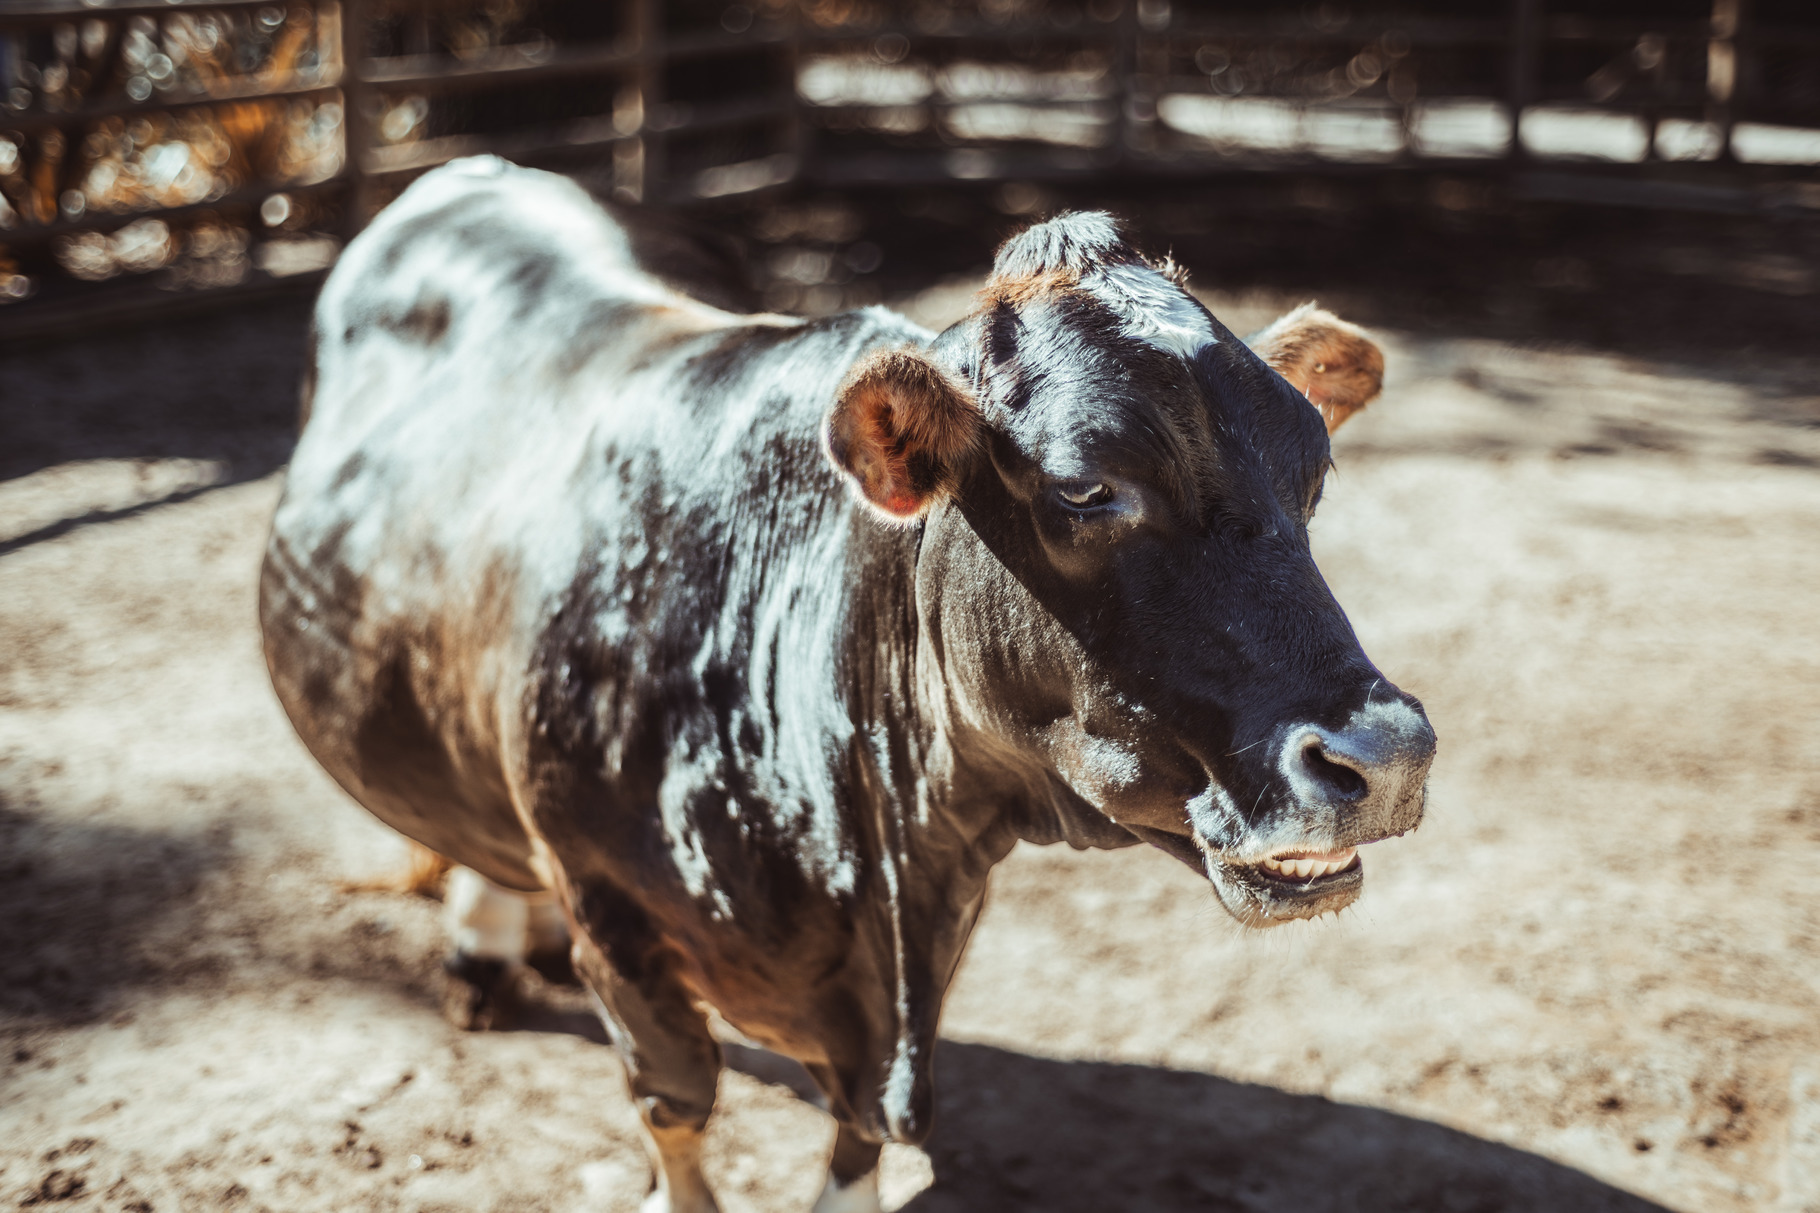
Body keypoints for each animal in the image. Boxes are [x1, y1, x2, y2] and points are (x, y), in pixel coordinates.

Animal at [261, 156, 1435, 1213]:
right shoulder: (614, 917)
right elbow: (676, 1107)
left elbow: (857, 1135)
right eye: (1083, 488)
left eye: (1312, 474)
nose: (1386, 753)